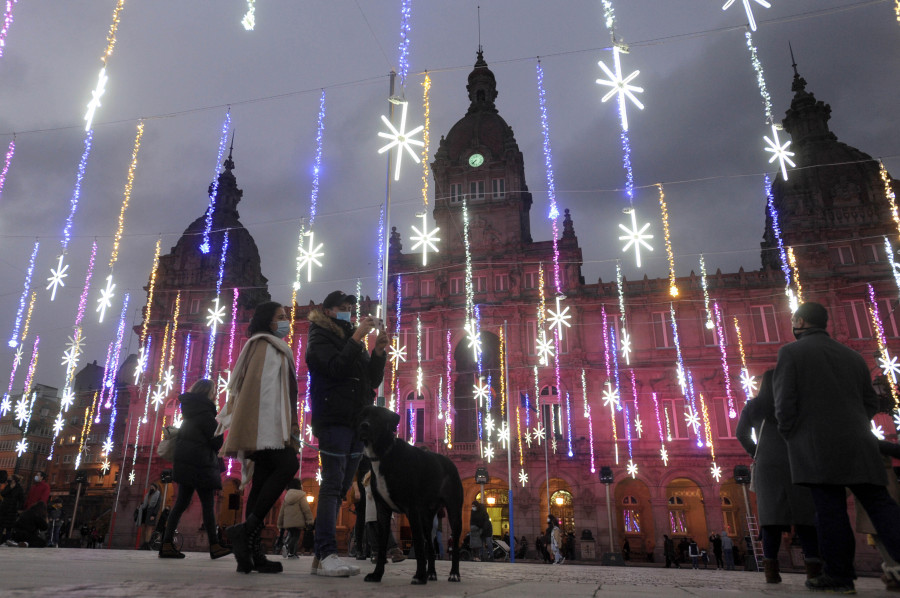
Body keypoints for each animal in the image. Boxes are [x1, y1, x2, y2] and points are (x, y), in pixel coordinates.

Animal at [356, 406, 460, 584]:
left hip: (453, 513)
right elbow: (382, 546)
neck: (383, 453)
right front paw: (377, 574)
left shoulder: (412, 510)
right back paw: (431, 574)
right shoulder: (382, 510)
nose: (363, 425)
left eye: (377, 416)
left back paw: (454, 574)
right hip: (427, 519)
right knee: (430, 546)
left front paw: (419, 576)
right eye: (362, 415)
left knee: (454, 545)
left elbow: (418, 545)